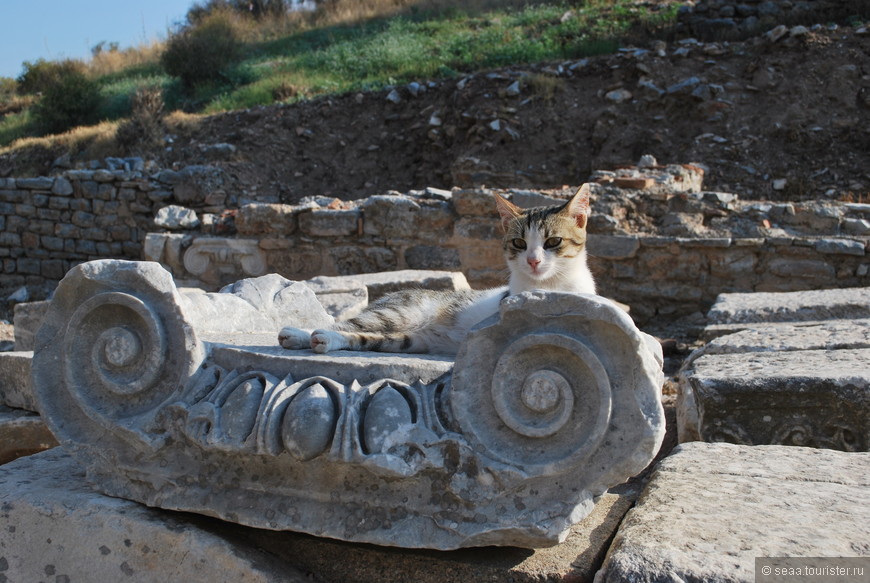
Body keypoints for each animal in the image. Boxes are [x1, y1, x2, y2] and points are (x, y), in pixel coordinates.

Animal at [276, 185, 596, 354]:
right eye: (519, 243)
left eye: (553, 242)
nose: (533, 260)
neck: (546, 286)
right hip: (400, 313)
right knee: (345, 323)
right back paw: (298, 333)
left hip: (410, 341)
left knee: (363, 338)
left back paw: (321, 340)